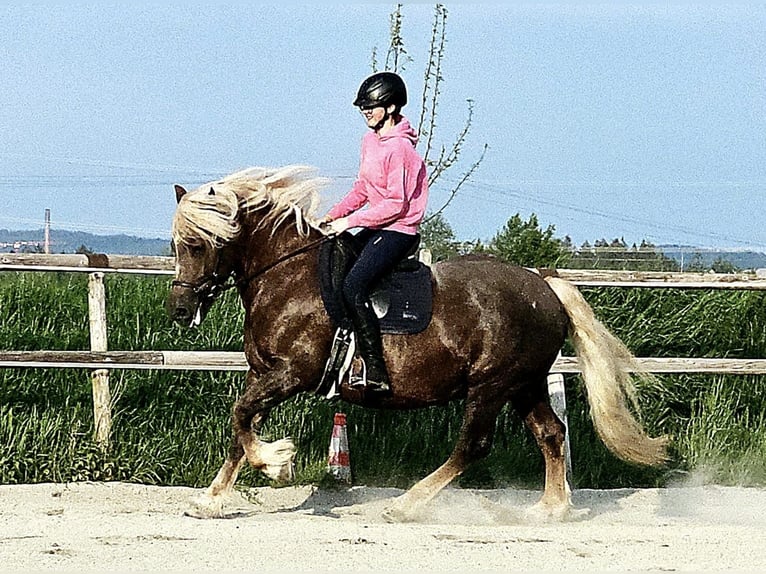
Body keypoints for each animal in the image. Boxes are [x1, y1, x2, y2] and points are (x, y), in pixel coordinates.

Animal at [170, 165, 672, 520]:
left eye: (199, 244)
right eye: (177, 244)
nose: (179, 308)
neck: (287, 278)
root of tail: (543, 285)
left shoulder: (292, 373)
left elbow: (241, 419)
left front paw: (277, 462)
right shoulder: (263, 373)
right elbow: (240, 427)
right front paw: (211, 501)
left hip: (491, 385)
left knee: (474, 444)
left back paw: (406, 505)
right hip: (524, 383)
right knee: (551, 433)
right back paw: (549, 509)